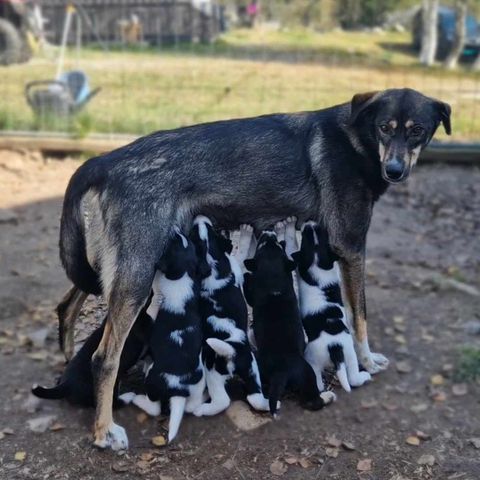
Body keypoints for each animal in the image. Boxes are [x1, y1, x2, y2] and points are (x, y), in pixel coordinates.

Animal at [128, 229, 207, 442]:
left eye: (175, 242)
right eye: (185, 241)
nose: (176, 229)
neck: (182, 276)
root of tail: (177, 388)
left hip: (152, 381)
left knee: (154, 408)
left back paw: (133, 397)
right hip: (198, 379)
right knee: (191, 404)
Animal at [188, 218, 270, 416]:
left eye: (209, 229)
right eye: (194, 230)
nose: (200, 217)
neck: (210, 257)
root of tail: (233, 350)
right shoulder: (237, 266)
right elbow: (241, 254)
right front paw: (246, 232)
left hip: (248, 369)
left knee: (254, 398)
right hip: (219, 370)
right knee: (225, 401)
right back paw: (202, 409)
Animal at [242, 230, 336, 416]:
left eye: (277, 245)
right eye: (263, 245)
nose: (269, 232)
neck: (273, 276)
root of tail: (281, 370)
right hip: (306, 374)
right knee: (312, 401)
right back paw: (327, 397)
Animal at [288, 223, 372, 392]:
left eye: (306, 237)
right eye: (319, 235)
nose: (311, 224)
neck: (317, 262)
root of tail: (335, 347)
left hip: (313, 358)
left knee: (317, 378)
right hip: (349, 355)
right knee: (353, 378)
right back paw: (364, 377)